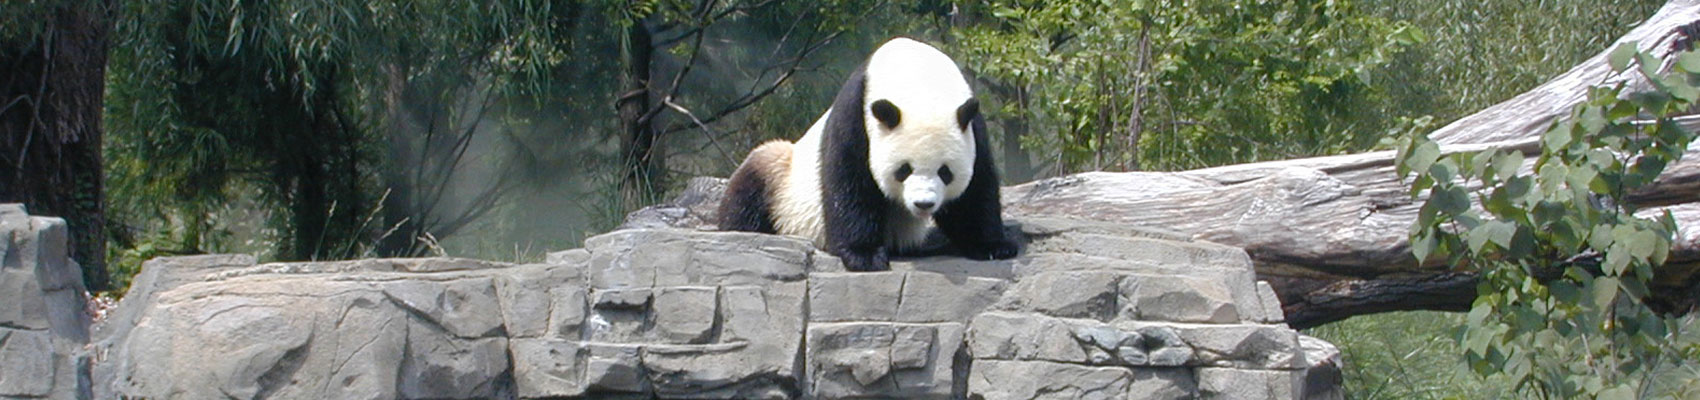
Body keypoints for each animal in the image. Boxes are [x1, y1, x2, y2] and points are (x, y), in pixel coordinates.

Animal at [717, 37, 1020, 272]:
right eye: (904, 170)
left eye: (945, 172)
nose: (923, 204)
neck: (919, 78)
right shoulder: (855, 113)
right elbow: (849, 182)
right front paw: (865, 255)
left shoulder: (972, 125)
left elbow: (976, 189)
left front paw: (993, 246)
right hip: (782, 179)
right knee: (749, 190)